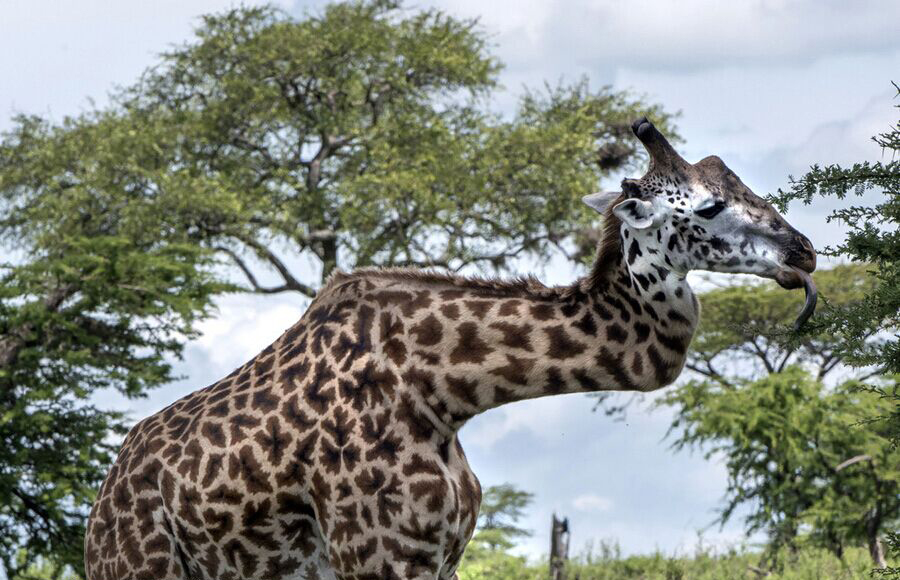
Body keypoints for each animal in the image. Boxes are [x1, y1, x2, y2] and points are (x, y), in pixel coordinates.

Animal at [84, 119, 816, 580]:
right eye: (711, 206)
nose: (803, 252)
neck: (446, 391)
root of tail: (101, 504)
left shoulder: (444, 557)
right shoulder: (377, 558)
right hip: (140, 569)